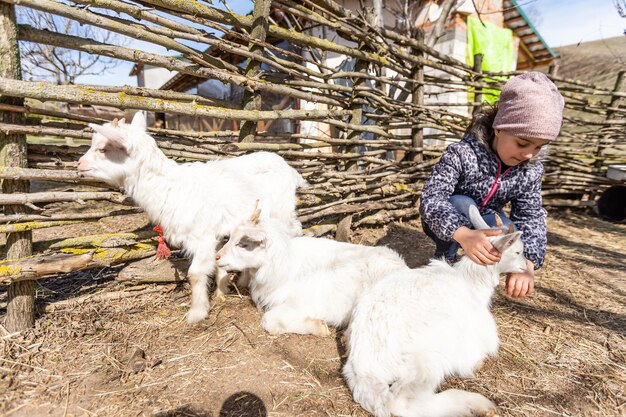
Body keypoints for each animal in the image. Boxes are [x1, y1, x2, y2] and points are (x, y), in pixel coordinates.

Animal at [77, 114, 306, 324]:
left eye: (103, 148)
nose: (78, 164)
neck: (169, 187)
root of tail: (290, 169)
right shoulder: (215, 232)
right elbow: (218, 262)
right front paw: (221, 292)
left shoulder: (201, 236)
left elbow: (195, 274)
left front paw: (197, 312)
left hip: (281, 211)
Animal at [214, 210, 410, 336]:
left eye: (243, 244)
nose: (216, 257)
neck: (284, 263)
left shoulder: (302, 302)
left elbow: (269, 321)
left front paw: (319, 327)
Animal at [344, 205, 524, 416]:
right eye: (518, 251)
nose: (525, 267)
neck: (471, 282)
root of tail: (365, 369)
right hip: (427, 361)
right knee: (403, 402)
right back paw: (478, 404)